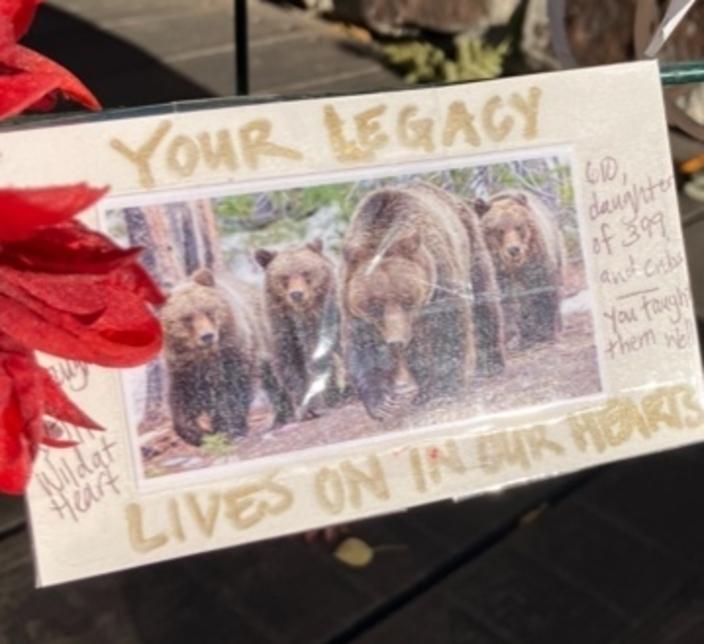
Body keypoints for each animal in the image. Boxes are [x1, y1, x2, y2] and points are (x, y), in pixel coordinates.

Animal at [161, 270, 290, 446]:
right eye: (187, 318)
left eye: (208, 311)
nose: (207, 336)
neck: (208, 357)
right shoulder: (184, 369)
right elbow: (182, 400)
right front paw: (198, 433)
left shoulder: (236, 354)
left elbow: (232, 391)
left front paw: (227, 429)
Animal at [254, 239, 346, 420]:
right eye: (284, 276)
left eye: (306, 272)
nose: (297, 294)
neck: (305, 315)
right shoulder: (284, 329)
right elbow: (291, 364)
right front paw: (309, 408)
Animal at [340, 182, 500, 422]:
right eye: (375, 305)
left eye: (406, 298)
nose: (396, 341)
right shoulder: (353, 304)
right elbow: (363, 345)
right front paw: (382, 403)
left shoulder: (439, 274)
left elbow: (448, 327)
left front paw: (445, 387)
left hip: (470, 244)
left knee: (484, 298)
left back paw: (490, 365)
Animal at [472, 191, 568, 350]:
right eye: (499, 230)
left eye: (518, 226)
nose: (514, 249)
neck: (514, 267)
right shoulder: (497, 272)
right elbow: (507, 302)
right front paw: (513, 338)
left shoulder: (536, 258)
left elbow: (541, 289)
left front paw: (544, 332)